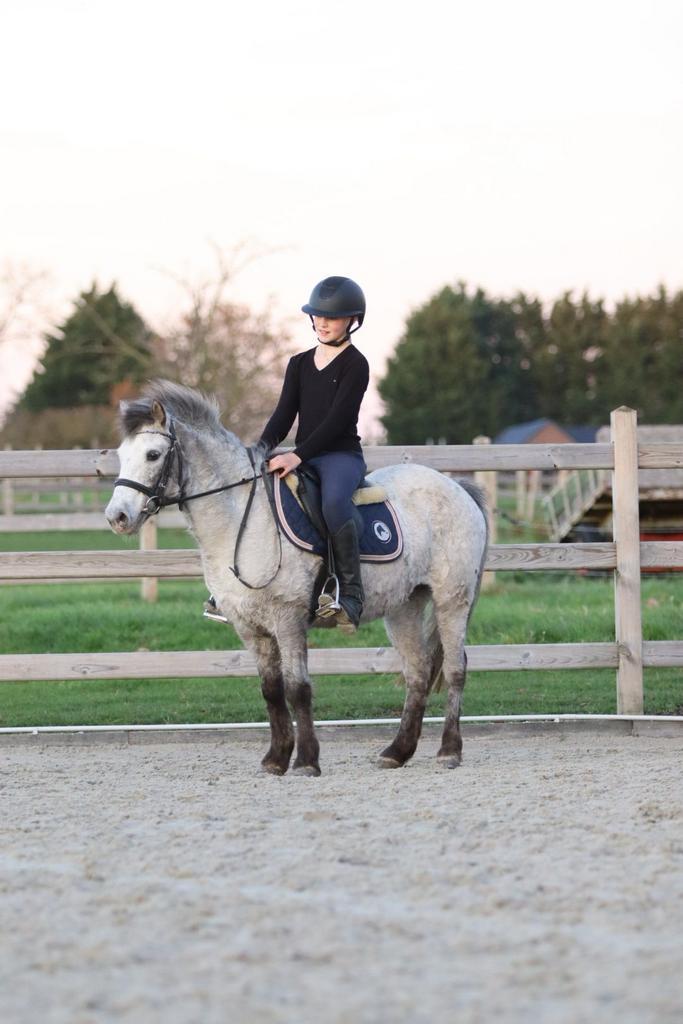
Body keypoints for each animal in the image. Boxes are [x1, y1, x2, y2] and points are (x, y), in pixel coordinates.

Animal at [105, 380, 488, 776]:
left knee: (456, 669)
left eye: (153, 455)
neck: (240, 518)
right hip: (403, 608)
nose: (117, 517)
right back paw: (397, 751)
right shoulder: (249, 627)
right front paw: (276, 759)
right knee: (418, 672)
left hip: (452, 600)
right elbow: (271, 691)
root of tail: (457, 487)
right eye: (121, 454)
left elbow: (297, 688)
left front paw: (306, 760)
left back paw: (449, 751)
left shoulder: (287, 619)